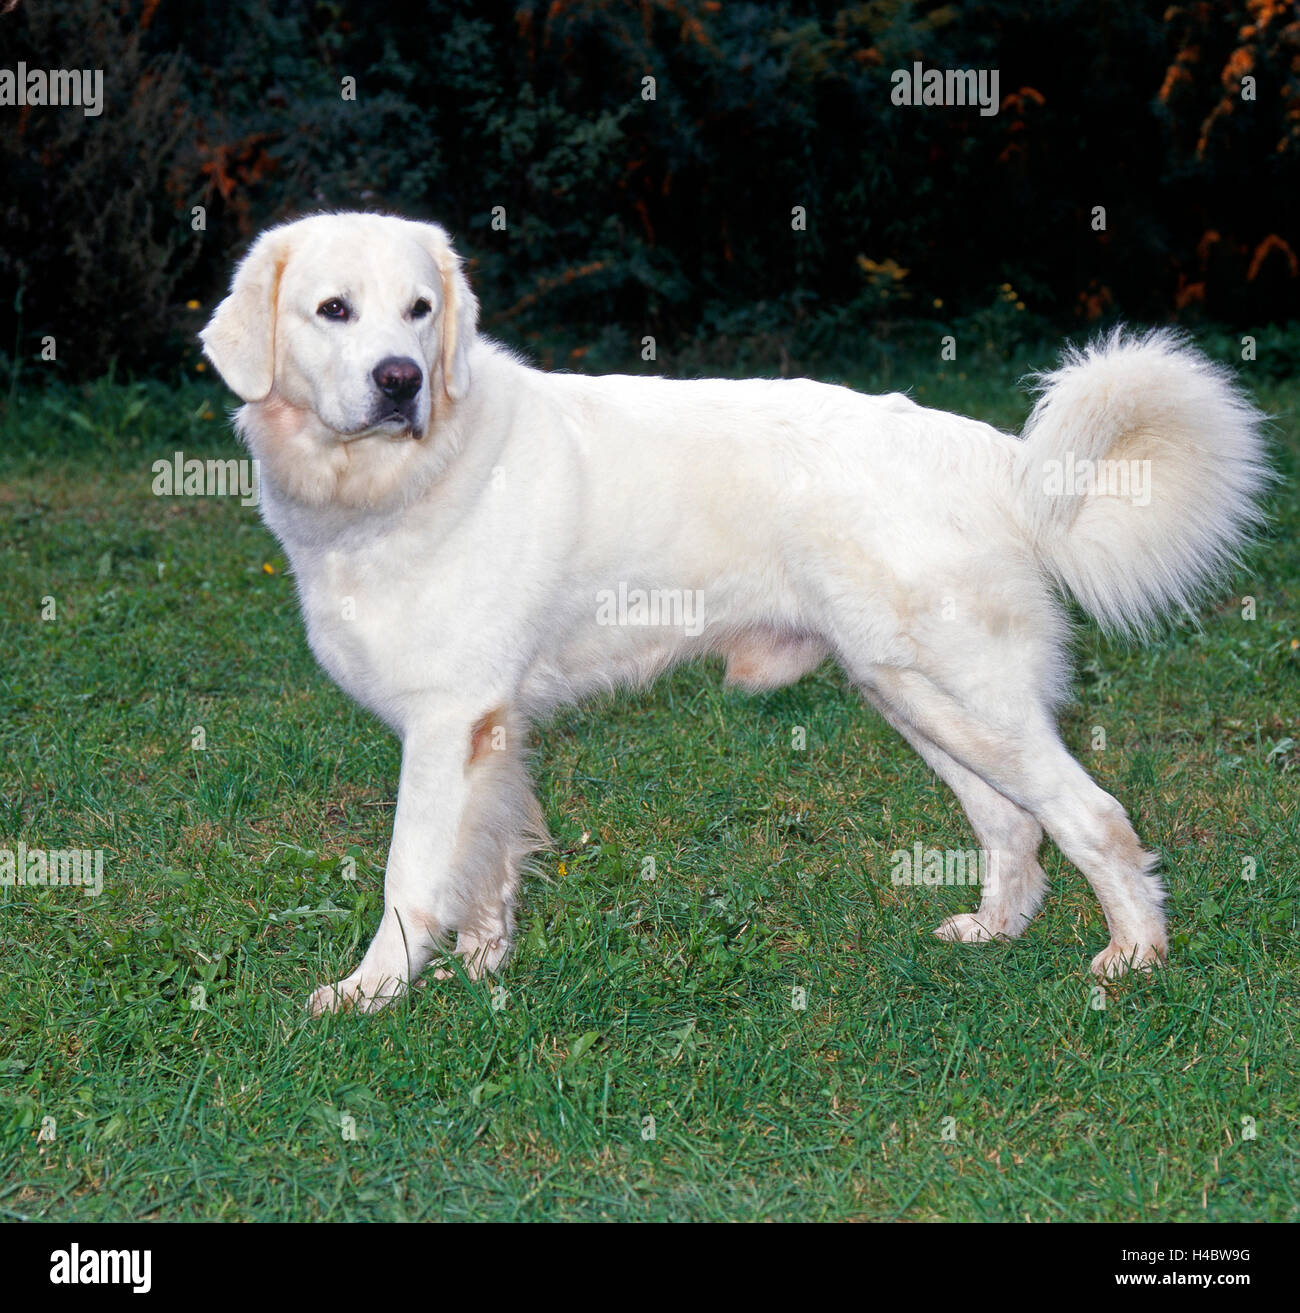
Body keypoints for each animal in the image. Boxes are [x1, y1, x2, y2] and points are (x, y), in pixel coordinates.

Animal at [203, 215, 1271, 1013]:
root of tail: (991, 453)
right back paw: (994, 930)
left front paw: (372, 990)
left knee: (1093, 815)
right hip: (916, 695)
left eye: (420, 312)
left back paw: (1135, 958)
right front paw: (485, 968)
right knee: (1013, 823)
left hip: (965, 696)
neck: (403, 476)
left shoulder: (447, 721)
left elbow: (411, 876)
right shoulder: (491, 733)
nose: (401, 379)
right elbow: (489, 863)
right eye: (333, 310)